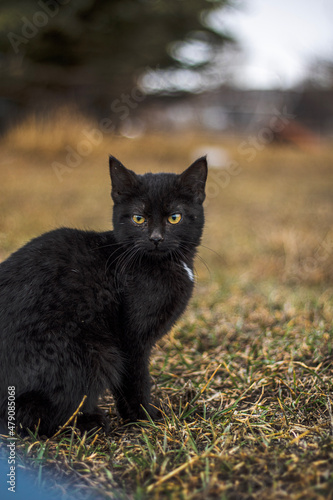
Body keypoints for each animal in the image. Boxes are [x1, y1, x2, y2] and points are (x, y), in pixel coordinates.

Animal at [0, 154, 206, 436]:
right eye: (138, 218)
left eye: (175, 217)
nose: (156, 238)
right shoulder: (131, 339)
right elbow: (136, 380)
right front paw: (145, 418)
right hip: (98, 353)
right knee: (30, 416)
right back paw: (89, 422)